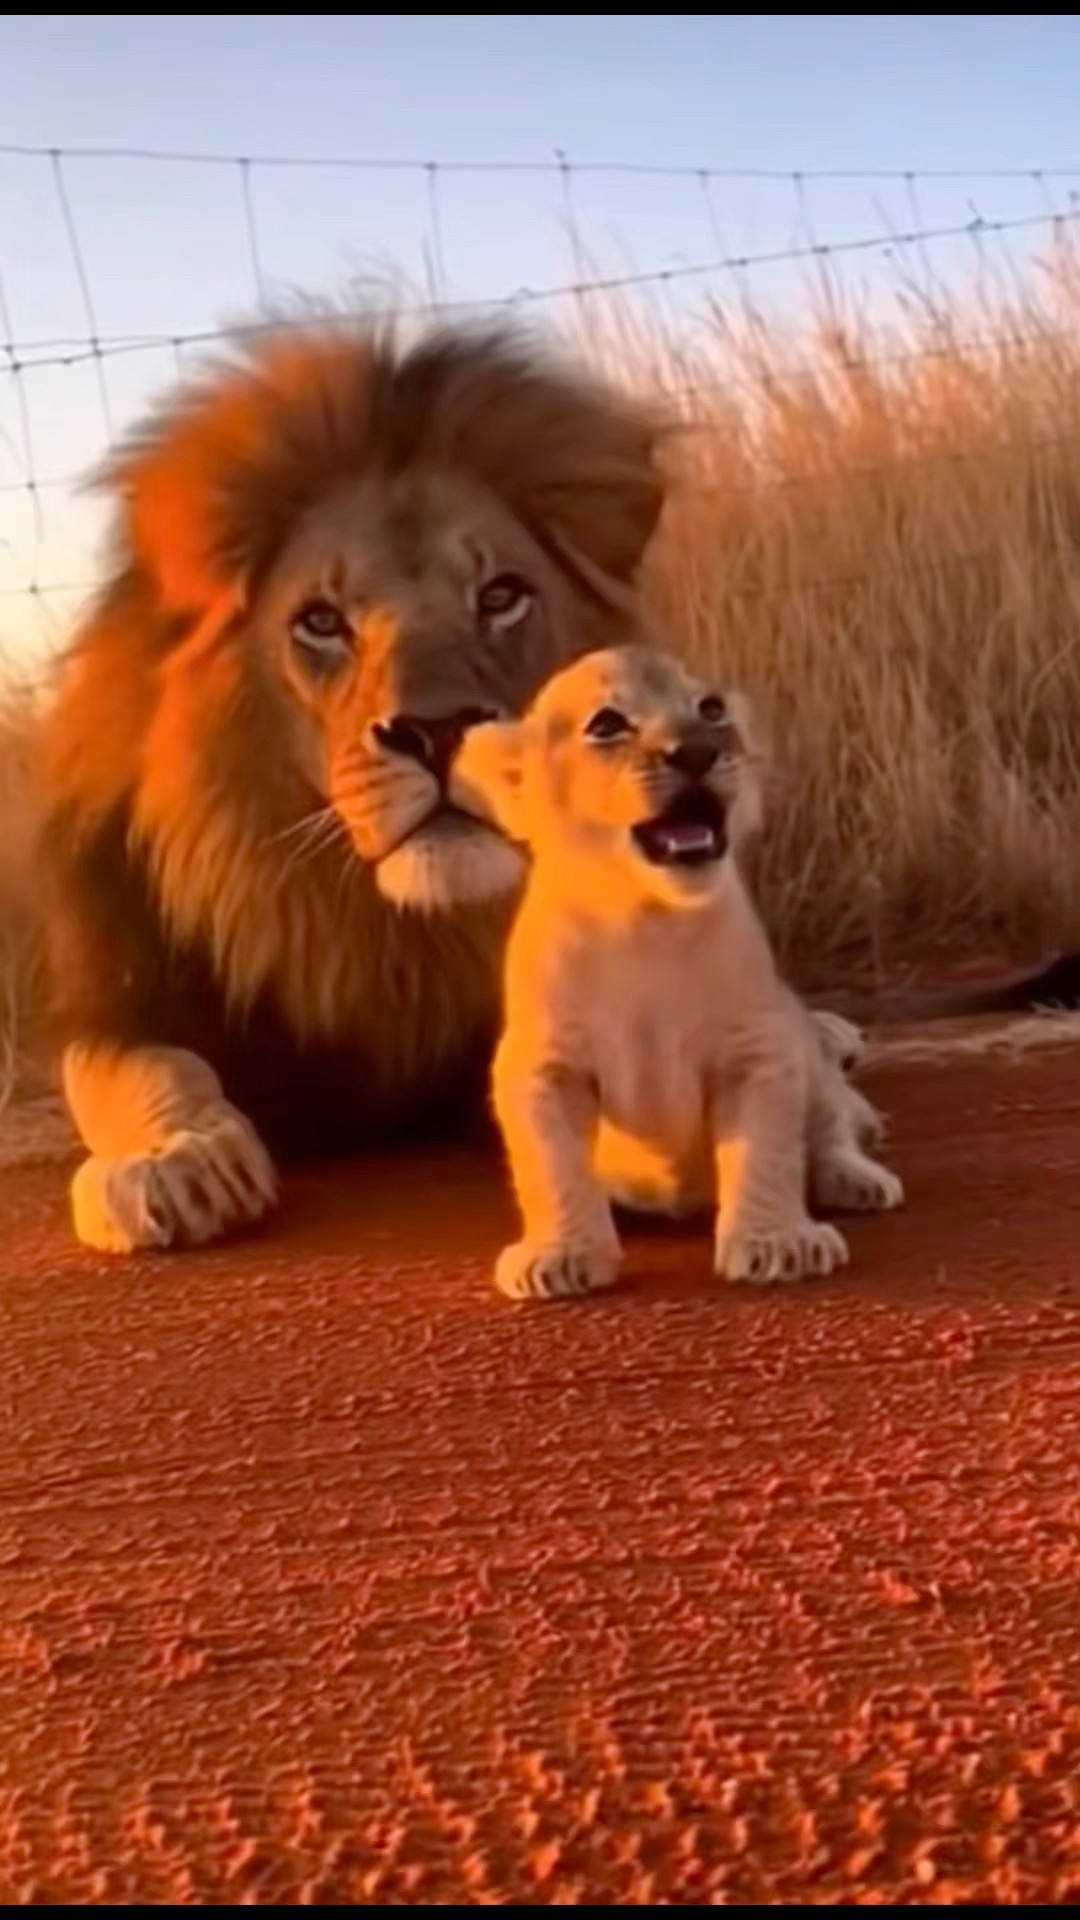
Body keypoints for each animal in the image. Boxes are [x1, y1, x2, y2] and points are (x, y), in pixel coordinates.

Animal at [37, 319, 667, 1252]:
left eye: (502, 596)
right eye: (321, 622)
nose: (438, 730)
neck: (372, 930)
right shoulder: (121, 1000)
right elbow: (141, 1067)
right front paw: (178, 1160)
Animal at [450, 645, 904, 1300]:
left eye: (710, 709)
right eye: (607, 724)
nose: (694, 751)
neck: (646, 918)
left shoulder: (757, 1050)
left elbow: (767, 1152)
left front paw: (779, 1244)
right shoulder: (543, 1066)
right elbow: (554, 1165)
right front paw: (560, 1255)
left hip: (806, 1053)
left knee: (832, 1124)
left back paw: (857, 1180)